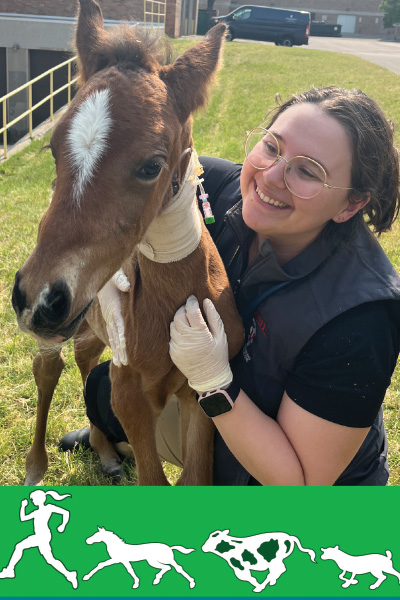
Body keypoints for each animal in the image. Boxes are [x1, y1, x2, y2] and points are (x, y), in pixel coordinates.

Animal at [11, 0, 244, 486]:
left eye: (152, 165)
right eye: (53, 150)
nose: (40, 296)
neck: (175, 297)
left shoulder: (199, 395)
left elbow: (196, 476)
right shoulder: (131, 396)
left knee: (84, 358)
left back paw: (105, 451)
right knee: (49, 368)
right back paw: (36, 467)